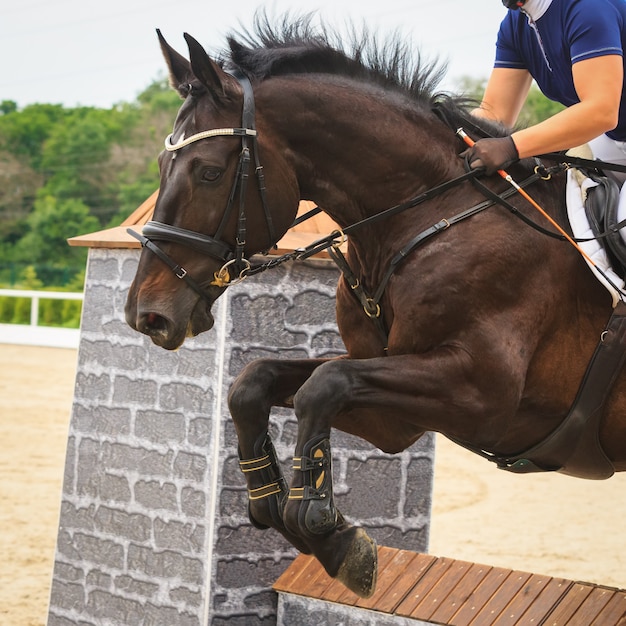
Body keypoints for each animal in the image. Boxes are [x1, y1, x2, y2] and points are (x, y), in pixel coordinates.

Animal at [124, 17, 624, 596]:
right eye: (164, 164)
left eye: (207, 171)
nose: (147, 314)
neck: (425, 216)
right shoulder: (397, 412)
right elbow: (256, 382)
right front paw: (286, 511)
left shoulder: (483, 395)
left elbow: (323, 386)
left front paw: (325, 528)